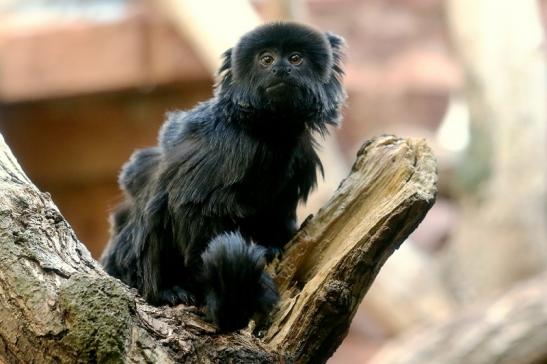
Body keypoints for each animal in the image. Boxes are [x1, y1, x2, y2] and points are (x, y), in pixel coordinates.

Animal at [100, 21, 344, 332]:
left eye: (295, 59)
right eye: (266, 59)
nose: (281, 69)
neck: (268, 130)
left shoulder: (300, 154)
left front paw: (274, 245)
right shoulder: (227, 146)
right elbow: (194, 210)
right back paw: (166, 291)